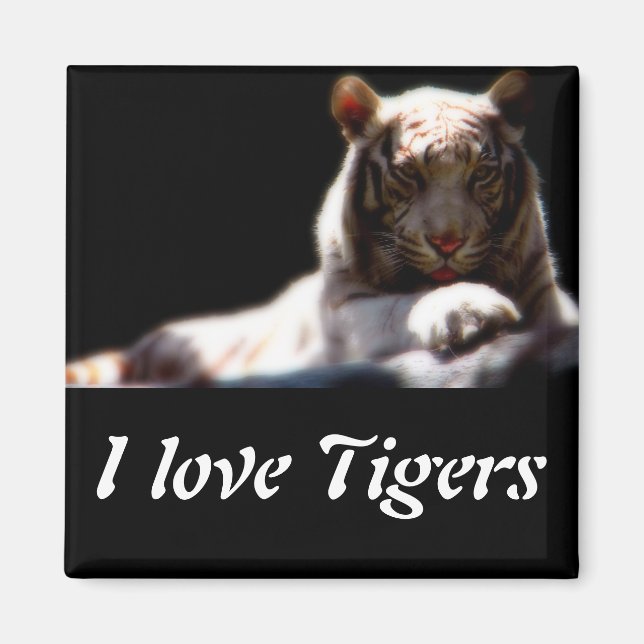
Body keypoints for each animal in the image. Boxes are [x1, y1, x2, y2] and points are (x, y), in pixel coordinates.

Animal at [65, 71, 578, 386]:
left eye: (481, 174)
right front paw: (468, 309)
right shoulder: (345, 314)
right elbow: (396, 307)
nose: (447, 242)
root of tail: (142, 346)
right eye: (409, 173)